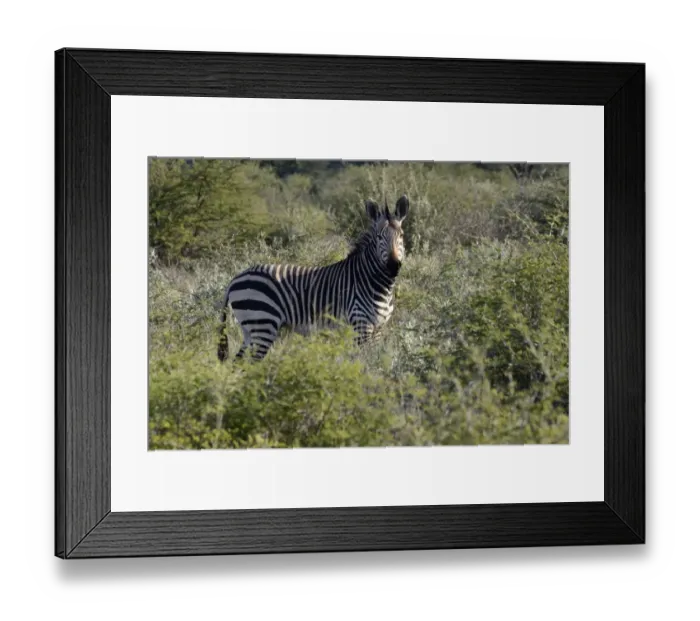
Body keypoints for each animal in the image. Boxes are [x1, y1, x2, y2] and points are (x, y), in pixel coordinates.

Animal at [217, 194, 409, 362]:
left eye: (401, 235)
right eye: (379, 237)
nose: (393, 266)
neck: (377, 284)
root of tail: (234, 279)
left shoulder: (379, 328)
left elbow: (374, 362)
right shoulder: (361, 324)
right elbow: (364, 362)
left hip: (250, 329)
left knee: (238, 364)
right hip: (263, 325)